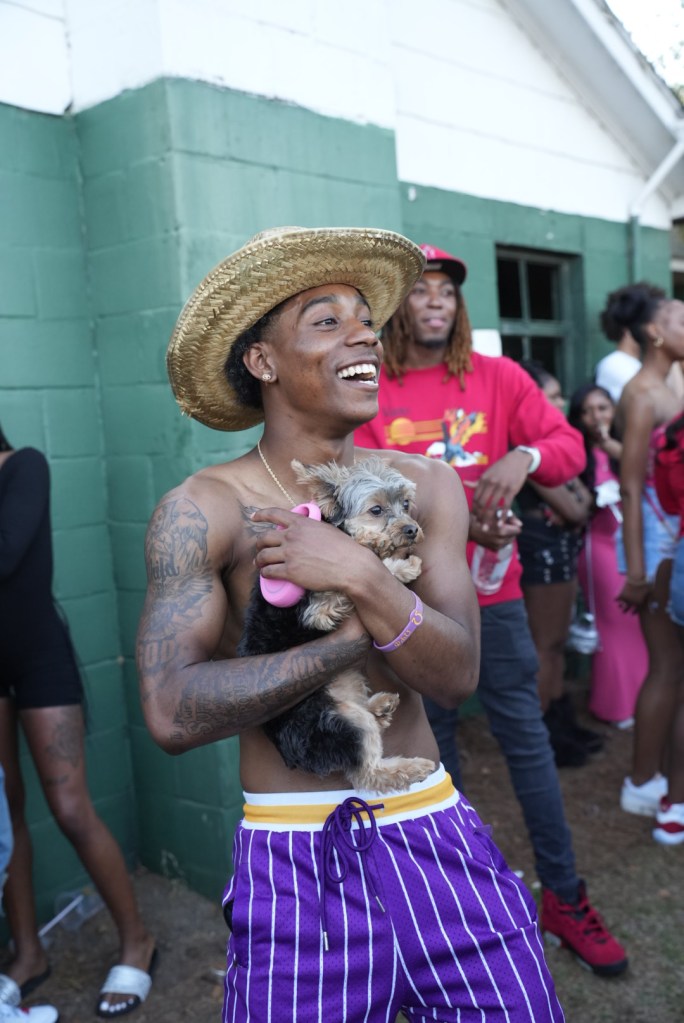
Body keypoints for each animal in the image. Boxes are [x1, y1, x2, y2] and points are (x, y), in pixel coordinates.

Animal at [238, 455, 436, 792]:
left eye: (406, 504)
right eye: (376, 510)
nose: (411, 529)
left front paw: (401, 565)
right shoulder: (321, 608)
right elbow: (365, 569)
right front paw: (393, 558)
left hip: (346, 691)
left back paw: (381, 706)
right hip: (342, 722)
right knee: (368, 772)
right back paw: (413, 766)